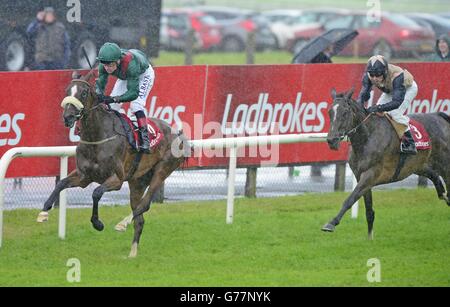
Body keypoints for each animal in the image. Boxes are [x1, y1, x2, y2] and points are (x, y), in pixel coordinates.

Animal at [36, 71, 189, 258]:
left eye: (84, 93)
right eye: (67, 91)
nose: (68, 117)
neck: (97, 137)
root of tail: (179, 134)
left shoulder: (116, 179)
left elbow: (96, 193)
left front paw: (97, 223)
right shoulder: (83, 176)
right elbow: (62, 183)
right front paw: (44, 212)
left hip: (162, 170)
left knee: (144, 205)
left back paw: (123, 223)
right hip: (137, 181)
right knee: (140, 218)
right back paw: (132, 253)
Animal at [322, 88, 450, 238]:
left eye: (345, 112)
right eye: (330, 112)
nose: (331, 140)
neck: (367, 138)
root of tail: (439, 116)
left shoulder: (371, 174)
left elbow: (350, 199)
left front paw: (331, 223)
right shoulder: (362, 177)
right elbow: (369, 211)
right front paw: (370, 238)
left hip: (445, 164)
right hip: (419, 165)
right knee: (434, 176)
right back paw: (443, 194)